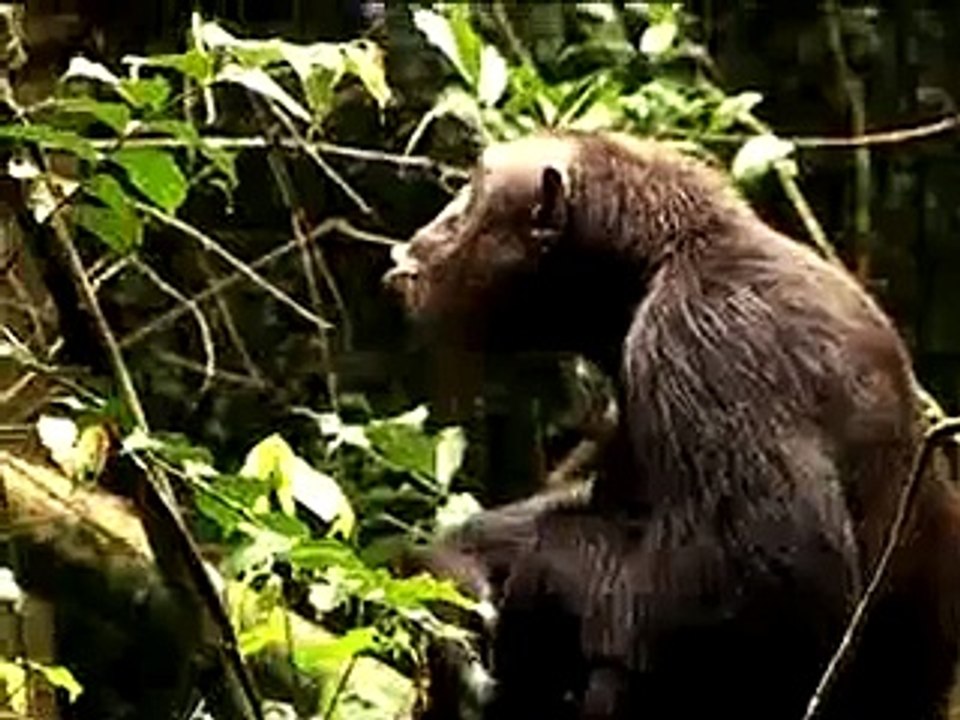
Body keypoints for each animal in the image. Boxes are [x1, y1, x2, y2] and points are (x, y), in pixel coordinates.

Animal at [384, 131, 960, 718]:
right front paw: (455, 564)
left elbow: (774, 580)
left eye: (471, 195)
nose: (416, 241)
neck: (654, 263)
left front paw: (540, 568)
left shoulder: (703, 343)